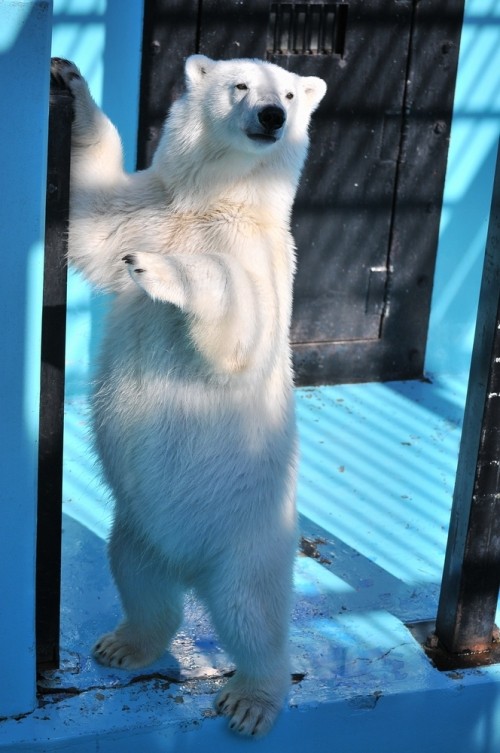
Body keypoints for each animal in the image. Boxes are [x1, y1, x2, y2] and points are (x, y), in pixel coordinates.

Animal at [49, 55, 324, 736]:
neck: (216, 201)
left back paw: (251, 700)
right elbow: (95, 216)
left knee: (253, 616)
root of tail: (191, 564)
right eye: (240, 86)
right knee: (140, 580)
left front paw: (159, 270)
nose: (270, 117)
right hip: (138, 527)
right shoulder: (153, 206)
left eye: (288, 95)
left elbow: (238, 322)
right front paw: (71, 78)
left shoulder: (260, 259)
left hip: (250, 538)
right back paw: (125, 644)